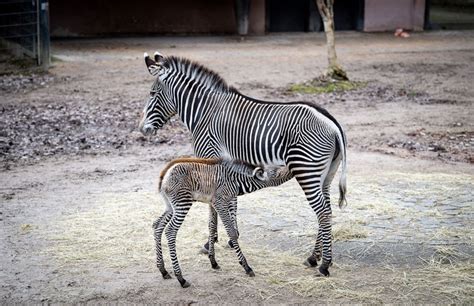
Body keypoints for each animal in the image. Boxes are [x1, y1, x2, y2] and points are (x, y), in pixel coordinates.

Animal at [154, 157, 290, 288]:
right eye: (275, 171)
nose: (291, 168)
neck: (236, 180)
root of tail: (165, 174)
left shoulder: (213, 203)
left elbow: (212, 226)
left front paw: (213, 262)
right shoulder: (220, 202)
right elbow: (232, 232)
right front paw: (246, 266)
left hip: (171, 206)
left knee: (157, 226)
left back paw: (163, 270)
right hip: (182, 203)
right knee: (170, 231)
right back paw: (181, 278)